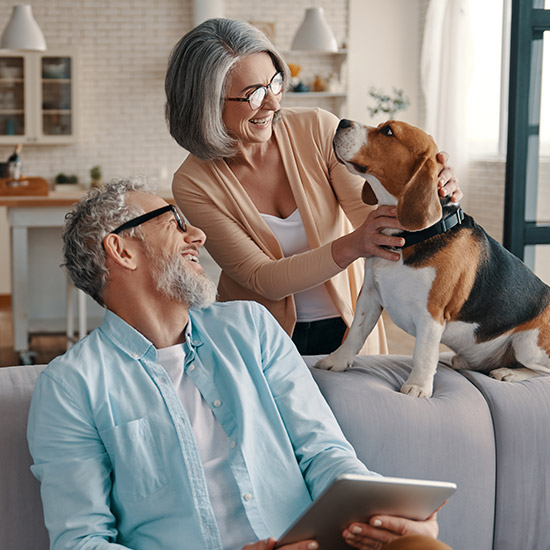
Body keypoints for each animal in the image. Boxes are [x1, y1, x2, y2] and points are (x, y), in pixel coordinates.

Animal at [316, 118, 550, 398]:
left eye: (388, 131)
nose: (342, 121)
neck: (411, 236)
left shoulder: (431, 314)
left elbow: (423, 354)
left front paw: (417, 386)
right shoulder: (370, 295)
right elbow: (355, 333)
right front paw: (336, 361)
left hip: (528, 344)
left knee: (541, 370)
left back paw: (509, 372)